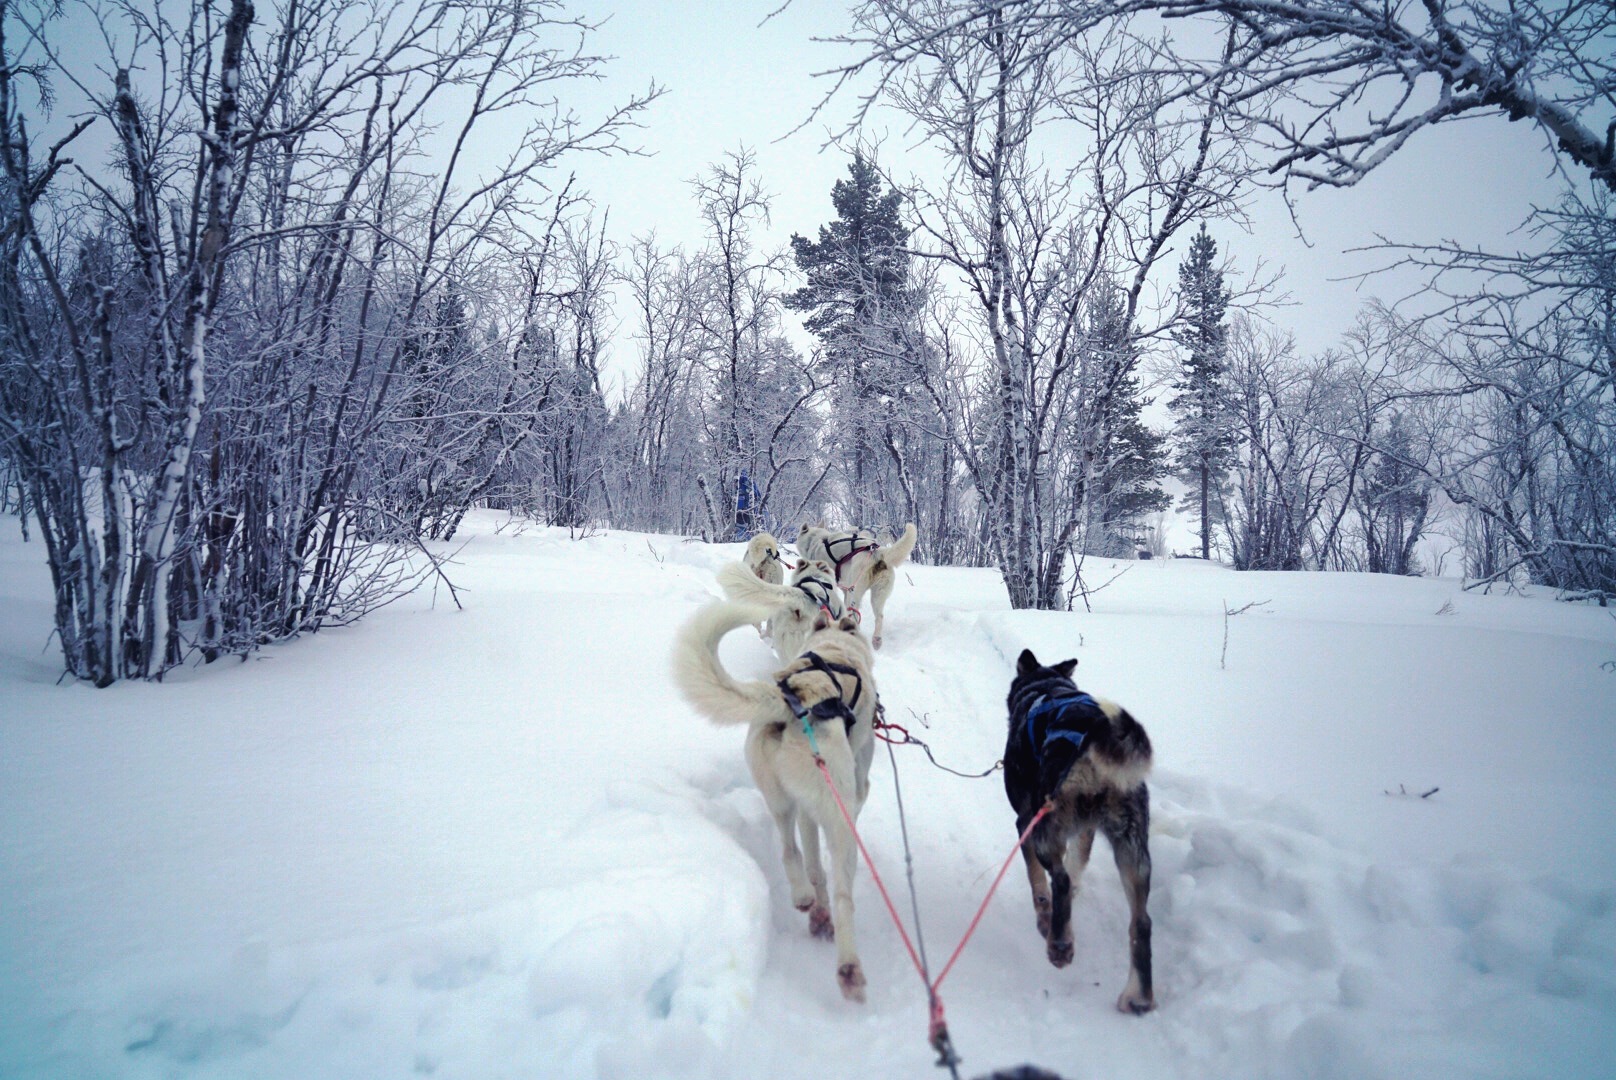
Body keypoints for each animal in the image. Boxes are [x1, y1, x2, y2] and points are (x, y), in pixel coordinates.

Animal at [669, 598, 872, 1002]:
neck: (835, 650)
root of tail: (793, 700)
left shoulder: (807, 809)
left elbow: (812, 861)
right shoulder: (854, 787)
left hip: (781, 801)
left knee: (791, 852)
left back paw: (807, 901)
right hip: (839, 821)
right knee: (843, 894)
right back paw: (848, 968)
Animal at [1001, 649, 1157, 1015]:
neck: (1045, 686)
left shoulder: (1025, 822)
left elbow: (1040, 883)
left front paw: (1047, 919)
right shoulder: (1085, 831)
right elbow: (1077, 865)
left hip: (1045, 827)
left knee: (1058, 879)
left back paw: (1059, 944)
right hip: (1133, 851)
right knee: (1141, 922)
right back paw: (1139, 997)